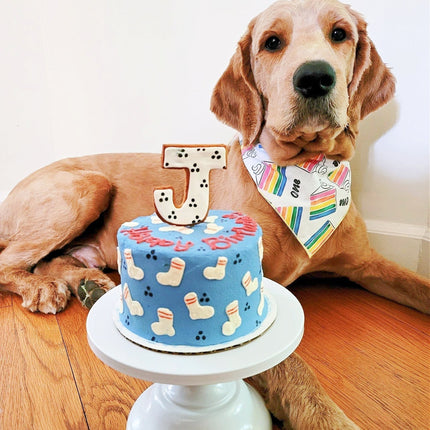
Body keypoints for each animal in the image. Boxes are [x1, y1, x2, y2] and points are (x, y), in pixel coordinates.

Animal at [0, 0, 428, 428]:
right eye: (272, 42)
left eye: (340, 34)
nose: (315, 78)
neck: (305, 170)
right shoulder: (262, 287)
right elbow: (292, 365)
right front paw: (326, 416)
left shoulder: (366, 263)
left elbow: (418, 285)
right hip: (88, 187)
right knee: (11, 262)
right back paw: (43, 288)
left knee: (49, 261)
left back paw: (85, 283)